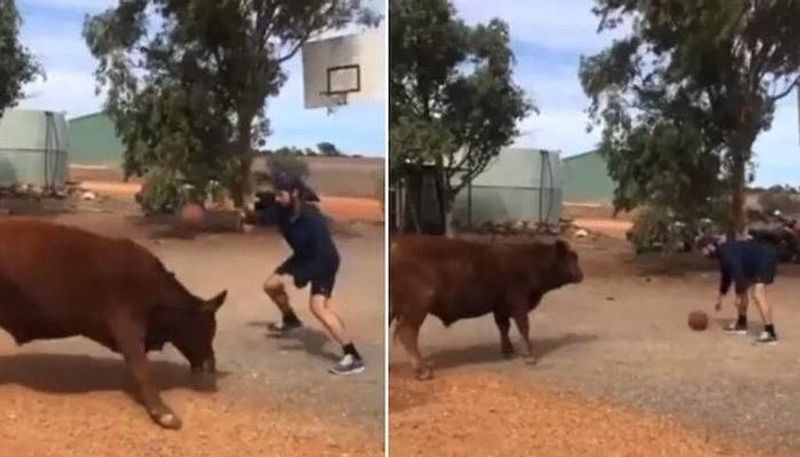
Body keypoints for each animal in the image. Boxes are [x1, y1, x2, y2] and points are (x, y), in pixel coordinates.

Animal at [390, 233, 580, 380]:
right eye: (572, 258)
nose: (581, 274)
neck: (529, 261)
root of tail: (397, 244)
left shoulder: (500, 308)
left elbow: (503, 327)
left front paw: (508, 350)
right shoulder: (519, 304)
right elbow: (523, 327)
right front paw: (529, 356)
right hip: (417, 308)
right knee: (407, 332)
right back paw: (422, 370)